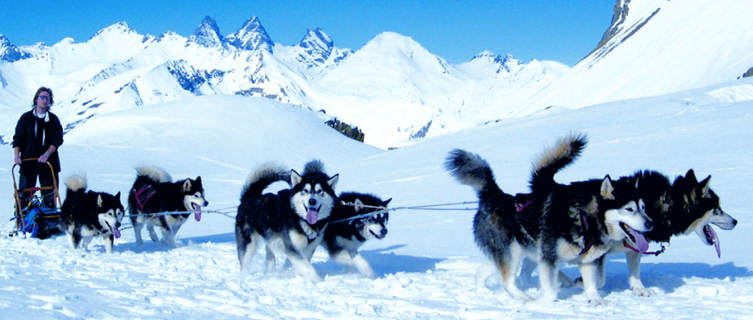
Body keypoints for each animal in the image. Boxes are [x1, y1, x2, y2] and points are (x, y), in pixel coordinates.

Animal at [446, 134, 652, 304]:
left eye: (643, 207)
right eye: (629, 209)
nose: (650, 224)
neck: (584, 218)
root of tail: (495, 195)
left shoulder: (588, 261)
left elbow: (594, 282)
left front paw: (594, 298)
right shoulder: (549, 257)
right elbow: (551, 290)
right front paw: (542, 302)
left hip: (510, 252)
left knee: (484, 272)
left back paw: (482, 291)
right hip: (512, 252)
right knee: (508, 281)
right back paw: (525, 298)